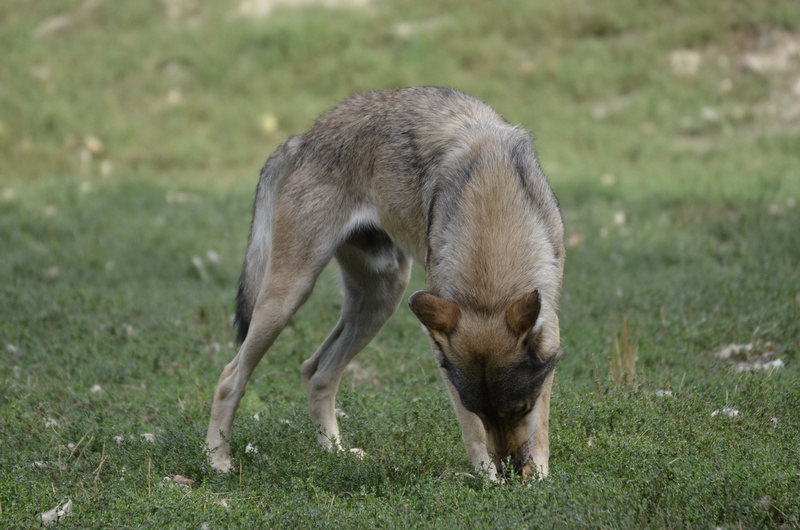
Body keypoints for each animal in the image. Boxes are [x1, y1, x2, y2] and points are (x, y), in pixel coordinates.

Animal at [205, 87, 565, 481]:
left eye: (520, 409)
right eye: (482, 412)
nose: (512, 470)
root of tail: (306, 137)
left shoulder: (548, 336)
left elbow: (542, 426)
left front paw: (538, 474)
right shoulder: (442, 355)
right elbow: (472, 431)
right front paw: (488, 478)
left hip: (381, 300)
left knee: (316, 371)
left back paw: (336, 453)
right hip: (289, 296)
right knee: (231, 376)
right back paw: (216, 460)